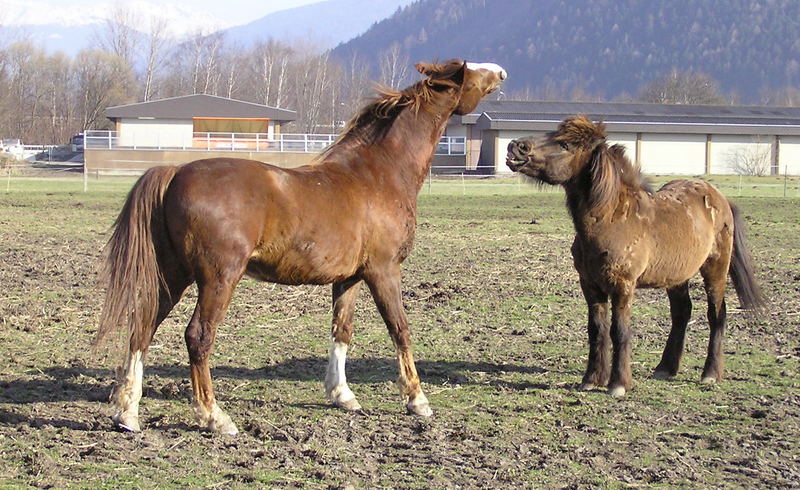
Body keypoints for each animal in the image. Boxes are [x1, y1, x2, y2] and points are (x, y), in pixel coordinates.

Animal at [95, 60, 506, 432]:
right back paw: (214, 417)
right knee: (198, 336)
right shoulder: (384, 270)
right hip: (217, 278)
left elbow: (342, 330)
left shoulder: (349, 278)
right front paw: (417, 400)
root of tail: (176, 172)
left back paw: (127, 413)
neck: (377, 173)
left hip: (173, 275)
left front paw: (342, 395)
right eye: (470, 72)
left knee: (142, 327)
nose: (500, 72)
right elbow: (400, 329)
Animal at [506, 117, 764, 398]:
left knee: (717, 313)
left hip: (715, 268)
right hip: (676, 278)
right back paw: (665, 369)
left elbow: (620, 331)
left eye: (565, 144)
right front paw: (591, 379)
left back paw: (710, 374)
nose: (515, 146)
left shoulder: (622, 286)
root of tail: (720, 198)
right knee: (681, 313)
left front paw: (618, 384)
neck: (612, 220)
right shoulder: (590, 285)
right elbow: (596, 329)